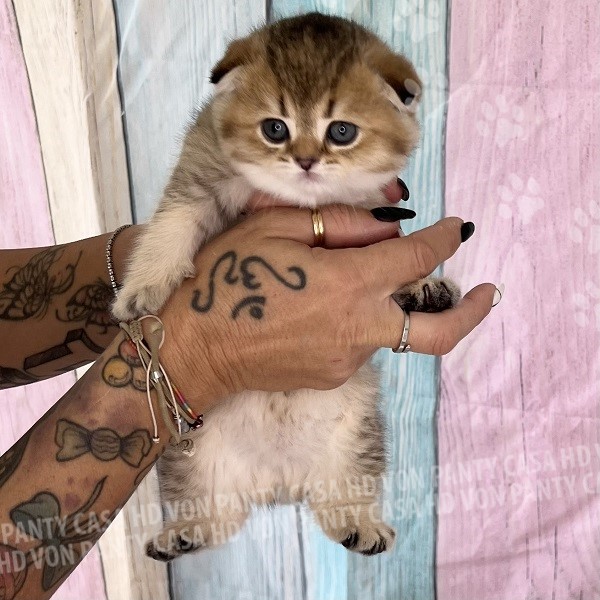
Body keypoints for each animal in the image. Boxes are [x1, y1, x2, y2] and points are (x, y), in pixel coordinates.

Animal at [112, 13, 460, 560]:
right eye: (275, 129)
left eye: (341, 131)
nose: (305, 161)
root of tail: (277, 485)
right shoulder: (199, 178)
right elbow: (172, 225)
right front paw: (141, 288)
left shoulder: (373, 217)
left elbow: (395, 247)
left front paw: (422, 285)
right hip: (189, 455)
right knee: (217, 517)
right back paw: (184, 533)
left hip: (356, 435)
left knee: (338, 497)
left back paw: (358, 525)